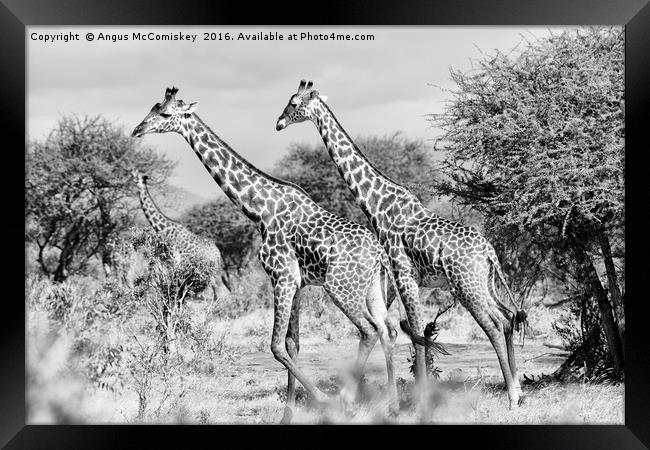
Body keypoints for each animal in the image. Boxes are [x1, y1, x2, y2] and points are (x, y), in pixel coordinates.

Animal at [130, 169, 229, 302]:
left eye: (136, 175)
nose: (131, 176)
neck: (165, 229)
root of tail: (218, 253)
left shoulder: (174, 261)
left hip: (209, 271)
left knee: (216, 291)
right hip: (214, 271)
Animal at [274, 80, 528, 408]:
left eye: (293, 103)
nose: (278, 123)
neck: (378, 203)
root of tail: (488, 252)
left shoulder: (402, 272)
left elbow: (414, 330)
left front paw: (419, 399)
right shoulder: (398, 278)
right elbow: (403, 329)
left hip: (466, 286)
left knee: (495, 325)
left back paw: (511, 396)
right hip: (485, 283)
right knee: (508, 318)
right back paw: (518, 390)